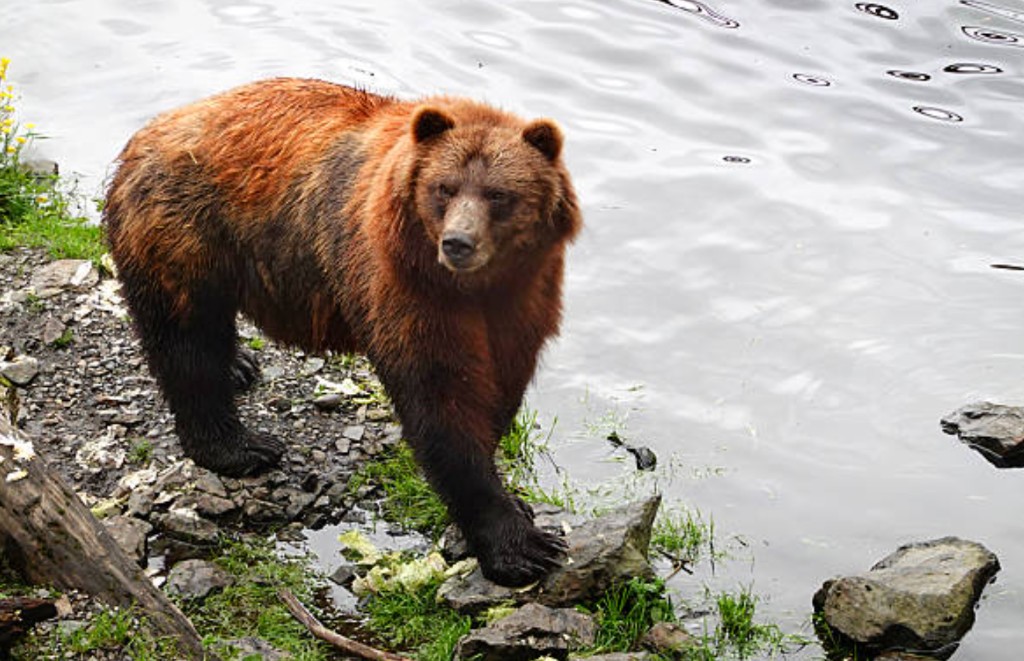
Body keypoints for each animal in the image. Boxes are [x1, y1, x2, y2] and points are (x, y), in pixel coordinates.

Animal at [103, 78, 582, 586]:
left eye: (498, 194)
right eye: (444, 188)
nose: (458, 243)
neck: (474, 287)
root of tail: (146, 133)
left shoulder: (523, 298)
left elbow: (498, 387)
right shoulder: (403, 287)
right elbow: (441, 399)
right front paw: (521, 547)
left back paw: (240, 366)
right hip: (184, 233)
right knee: (188, 344)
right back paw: (241, 445)